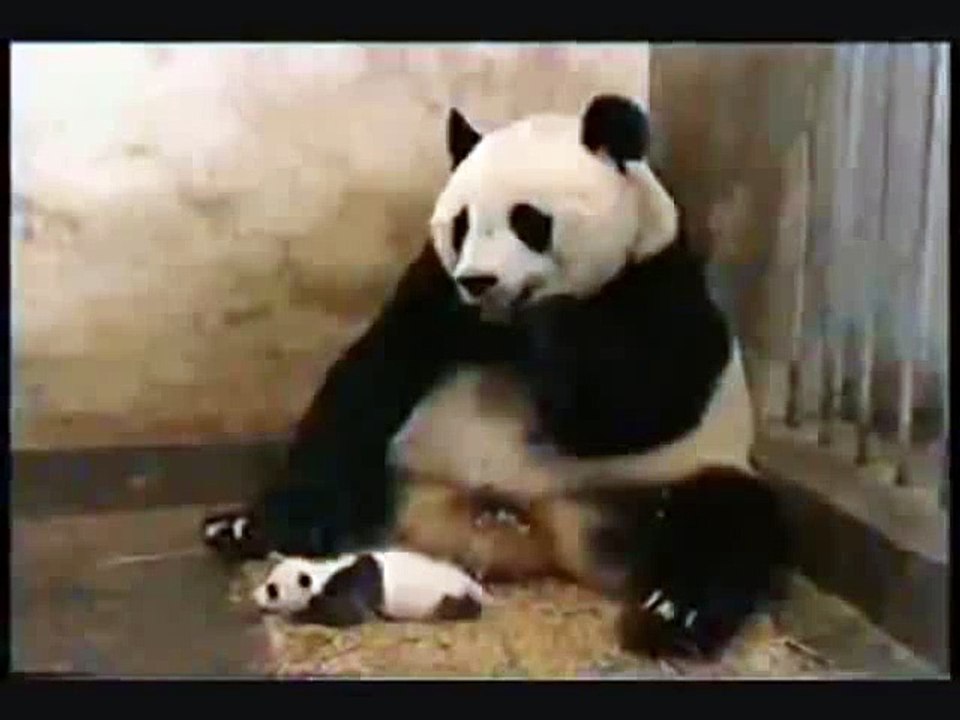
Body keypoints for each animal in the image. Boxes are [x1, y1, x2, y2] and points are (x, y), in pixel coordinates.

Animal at [252, 549, 490, 626]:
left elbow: (349, 613)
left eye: (272, 590)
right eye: (268, 582)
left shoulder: (352, 583)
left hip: (448, 596)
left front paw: (298, 614)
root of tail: (469, 582)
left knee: (457, 607)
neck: (322, 572)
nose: (254, 596)